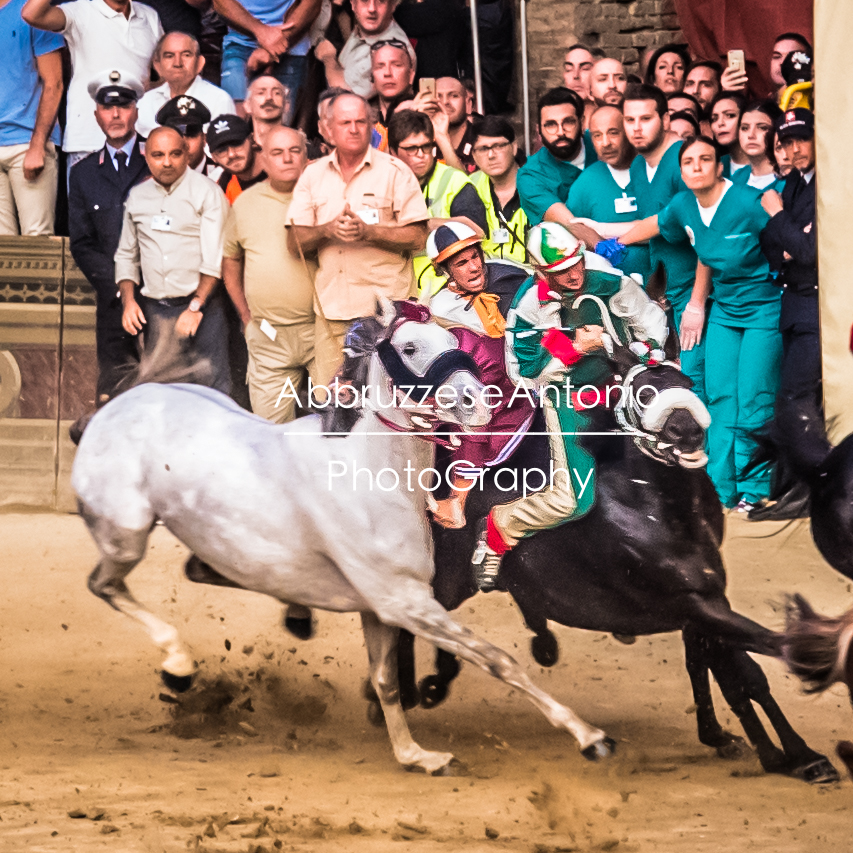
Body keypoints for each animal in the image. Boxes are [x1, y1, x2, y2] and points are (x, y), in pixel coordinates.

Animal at [68, 300, 612, 772]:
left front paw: (416, 756)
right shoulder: (403, 601)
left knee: (192, 569)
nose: (478, 403)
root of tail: (124, 401)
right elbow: (497, 659)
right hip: (126, 532)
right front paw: (591, 737)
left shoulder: (380, 610)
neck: (370, 476)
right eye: (410, 347)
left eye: (452, 339)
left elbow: (386, 682)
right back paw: (178, 665)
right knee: (103, 584)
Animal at [392, 350, 840, 784]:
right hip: (444, 578)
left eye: (687, 382)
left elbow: (729, 673)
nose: (687, 431)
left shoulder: (707, 600)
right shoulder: (694, 603)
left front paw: (752, 745)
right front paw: (799, 755)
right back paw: (412, 693)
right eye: (643, 393)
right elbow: (751, 665)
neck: (657, 507)